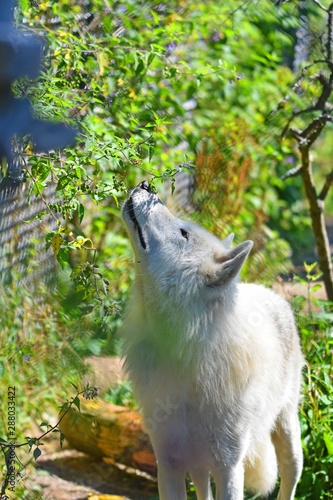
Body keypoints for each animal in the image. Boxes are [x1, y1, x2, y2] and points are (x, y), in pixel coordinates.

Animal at [120, 181, 302, 500]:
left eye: (184, 233)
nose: (145, 184)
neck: (183, 352)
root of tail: (268, 291)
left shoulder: (229, 468)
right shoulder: (169, 464)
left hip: (286, 430)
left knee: (291, 475)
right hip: (197, 464)